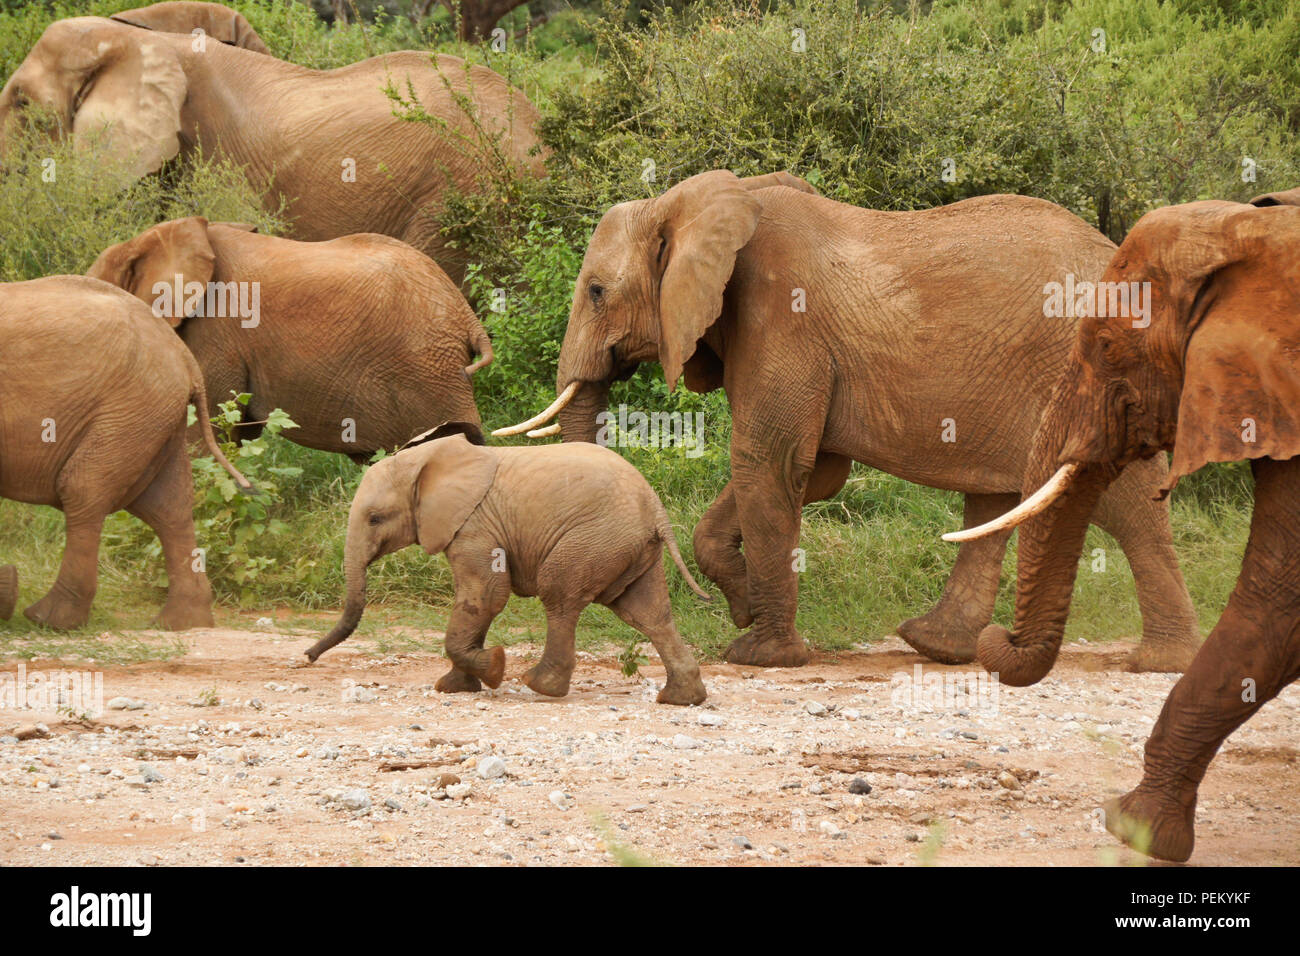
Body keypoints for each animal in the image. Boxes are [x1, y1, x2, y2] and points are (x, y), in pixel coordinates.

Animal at [301, 426, 712, 702]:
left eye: (374, 519)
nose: (307, 657)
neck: (425, 462)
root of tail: (655, 508)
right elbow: (479, 601)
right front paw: (454, 688)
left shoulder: (474, 525)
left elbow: (485, 595)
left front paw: (495, 668)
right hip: (628, 547)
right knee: (647, 612)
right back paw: (681, 698)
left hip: (594, 539)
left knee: (560, 598)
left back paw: (540, 686)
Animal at [493, 167, 1196, 671]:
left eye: (595, 293)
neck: (709, 201)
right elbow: (812, 471)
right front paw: (743, 605)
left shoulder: (783, 316)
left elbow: (770, 461)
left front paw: (758, 654)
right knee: (992, 502)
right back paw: (935, 645)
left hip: (1095, 374)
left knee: (1122, 502)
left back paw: (1160, 662)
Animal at [946, 195, 1300, 858]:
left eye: (1107, 346)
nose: (998, 634)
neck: (1247, 231)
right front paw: (1139, 828)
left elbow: (1276, 600)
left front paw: (1132, 828)